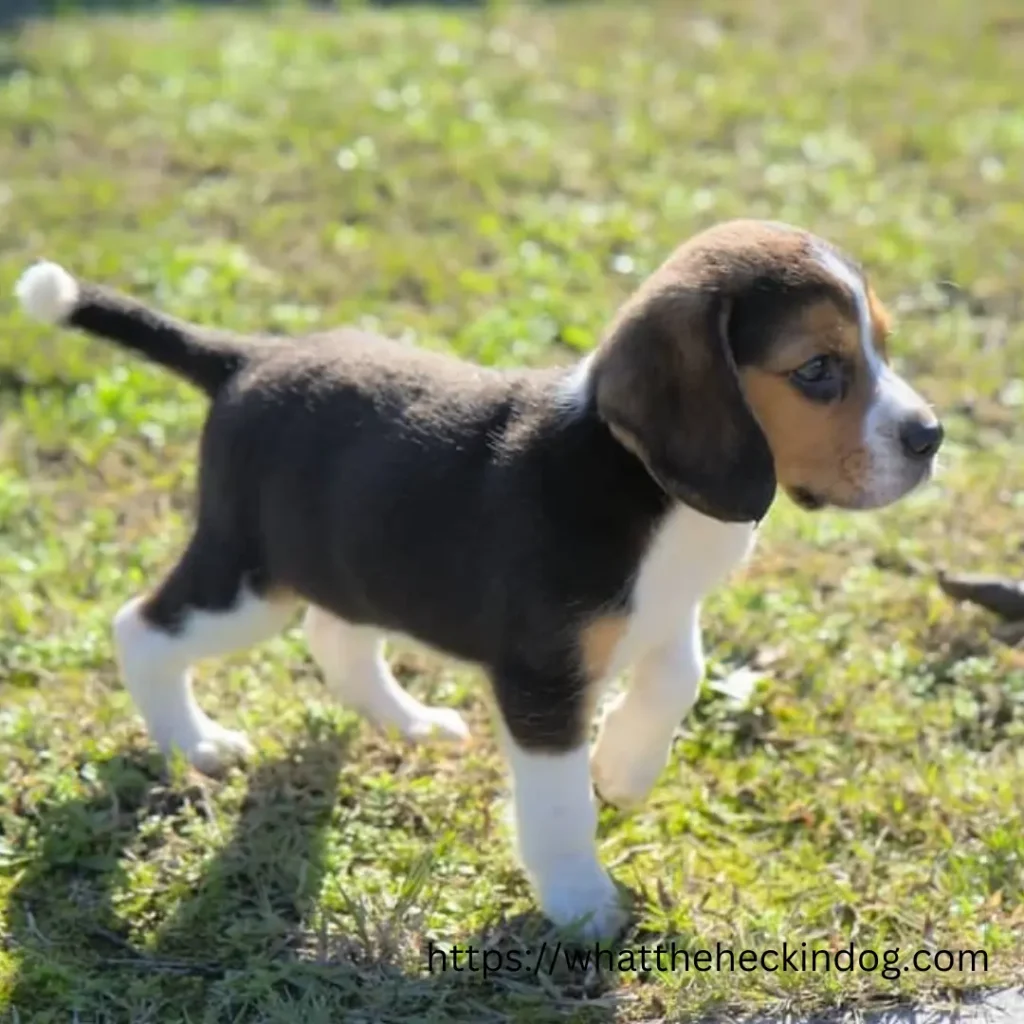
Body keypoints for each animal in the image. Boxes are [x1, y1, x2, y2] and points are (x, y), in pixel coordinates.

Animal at [18, 220, 942, 937]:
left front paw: (625, 766)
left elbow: (679, 675)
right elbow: (561, 804)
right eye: (817, 369)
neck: (638, 480)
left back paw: (408, 721)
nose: (931, 437)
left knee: (335, 634)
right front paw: (581, 901)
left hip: (350, 561)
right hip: (249, 581)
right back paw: (194, 741)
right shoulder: (541, 680)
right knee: (143, 627)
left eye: (883, 346)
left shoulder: (664, 612)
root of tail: (247, 361)